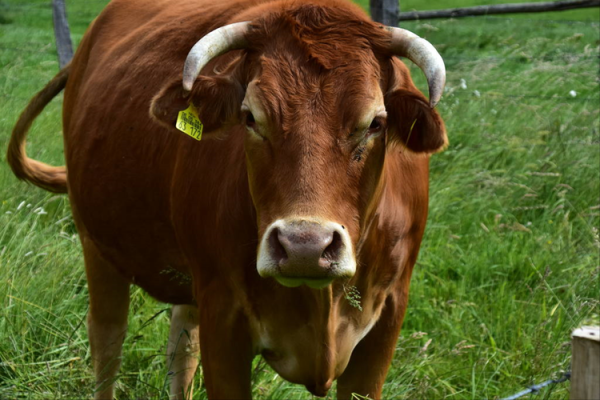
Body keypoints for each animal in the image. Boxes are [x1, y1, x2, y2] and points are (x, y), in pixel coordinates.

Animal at [5, 0, 446, 398]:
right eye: (250, 117)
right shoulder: (223, 319)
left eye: (375, 123)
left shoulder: (386, 320)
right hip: (95, 242)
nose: (304, 247)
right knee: (108, 341)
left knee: (181, 346)